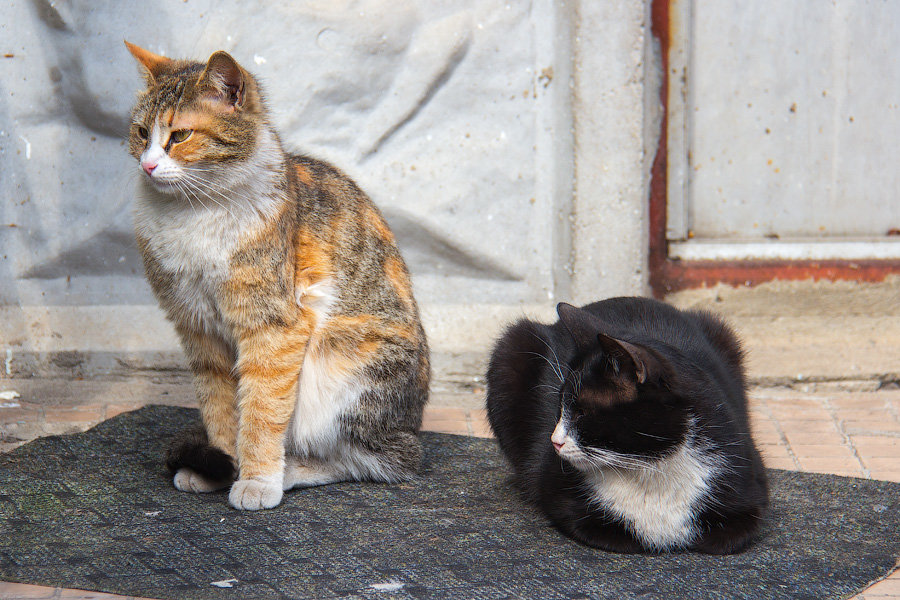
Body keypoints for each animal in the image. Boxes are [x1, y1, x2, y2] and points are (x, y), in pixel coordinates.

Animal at [125, 42, 430, 510]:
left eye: (180, 136)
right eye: (141, 132)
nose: (148, 167)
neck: (190, 217)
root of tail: (412, 426)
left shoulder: (273, 326)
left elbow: (262, 411)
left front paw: (257, 479)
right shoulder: (197, 328)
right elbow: (219, 406)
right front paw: (221, 465)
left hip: (343, 366)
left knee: (380, 461)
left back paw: (293, 470)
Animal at [486, 298, 768, 556]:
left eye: (582, 412)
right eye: (559, 405)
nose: (554, 441)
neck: (650, 467)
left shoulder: (746, 484)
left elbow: (727, 537)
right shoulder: (564, 500)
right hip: (511, 347)